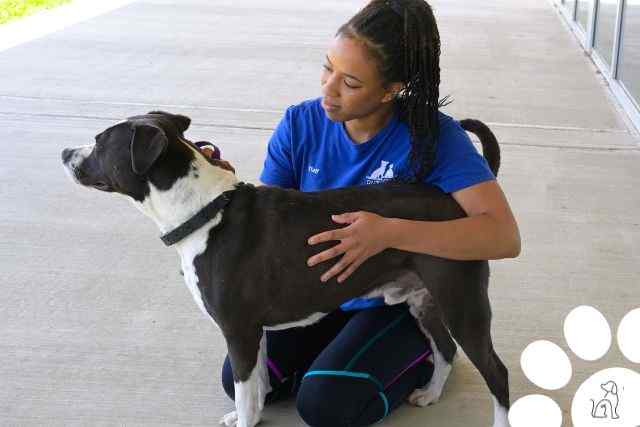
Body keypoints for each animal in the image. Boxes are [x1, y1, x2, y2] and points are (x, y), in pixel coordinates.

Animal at [61, 113, 510, 427]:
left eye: (100, 141)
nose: (65, 153)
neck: (202, 213)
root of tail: (454, 204)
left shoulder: (238, 331)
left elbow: (245, 393)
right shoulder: (252, 332)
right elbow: (257, 386)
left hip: (461, 301)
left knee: (496, 371)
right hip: (424, 300)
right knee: (445, 349)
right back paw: (430, 394)